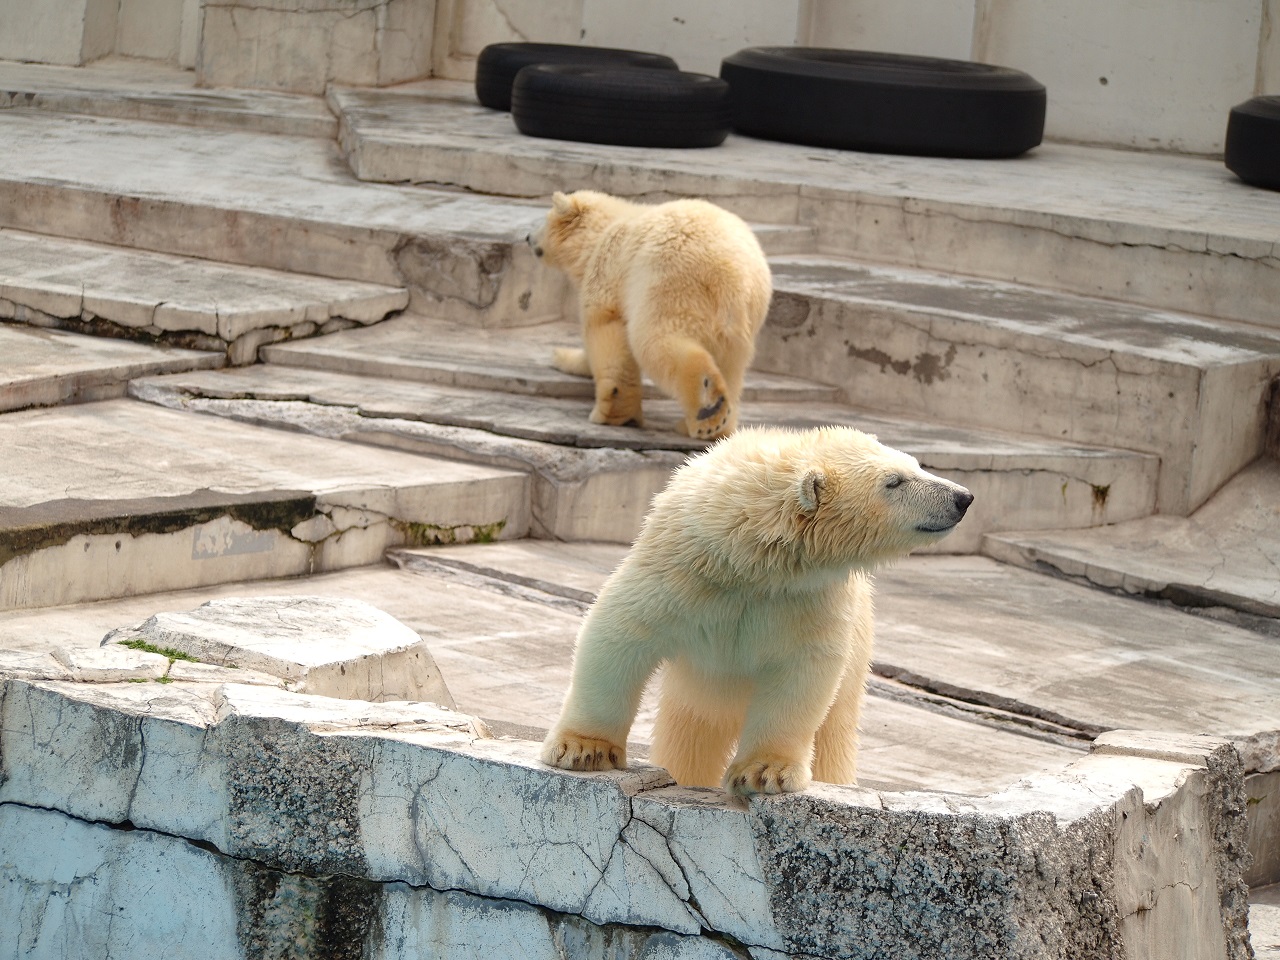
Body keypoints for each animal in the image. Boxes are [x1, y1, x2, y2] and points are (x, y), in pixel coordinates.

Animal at [529, 192, 768, 440]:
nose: (527, 237)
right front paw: (566, 357)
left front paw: (613, 411)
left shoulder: (608, 268)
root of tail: (735, 276)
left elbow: (605, 328)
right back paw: (714, 425)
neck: (600, 232)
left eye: (543, 221)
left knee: (653, 339)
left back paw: (706, 406)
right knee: (732, 366)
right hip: (744, 319)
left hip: (672, 282)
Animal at [537, 427, 967, 798]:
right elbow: (622, 631)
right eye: (894, 481)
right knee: (688, 738)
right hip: (695, 694)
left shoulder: (809, 599)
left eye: (916, 464)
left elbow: (803, 671)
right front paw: (584, 749)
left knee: (833, 734)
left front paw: (764, 772)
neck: (749, 561)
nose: (962, 497)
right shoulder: (680, 569)